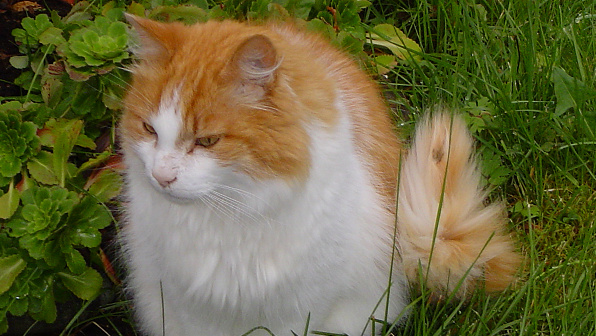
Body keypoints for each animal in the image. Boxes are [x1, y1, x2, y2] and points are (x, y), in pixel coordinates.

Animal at [118, 13, 520, 336]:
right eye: (149, 130)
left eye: (207, 141)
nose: (161, 176)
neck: (227, 217)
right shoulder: (187, 308)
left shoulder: (297, 311)